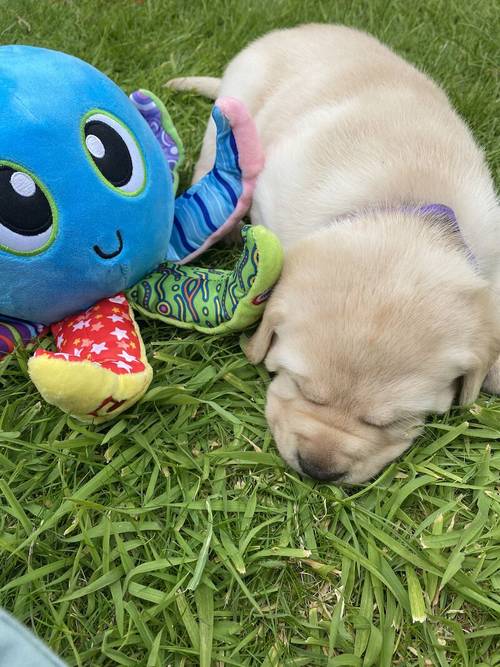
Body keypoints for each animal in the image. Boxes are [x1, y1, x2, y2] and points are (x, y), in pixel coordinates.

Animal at [169, 23, 500, 482]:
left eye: (392, 422)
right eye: (301, 387)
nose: (318, 471)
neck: (405, 215)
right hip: (238, 99)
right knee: (212, 156)